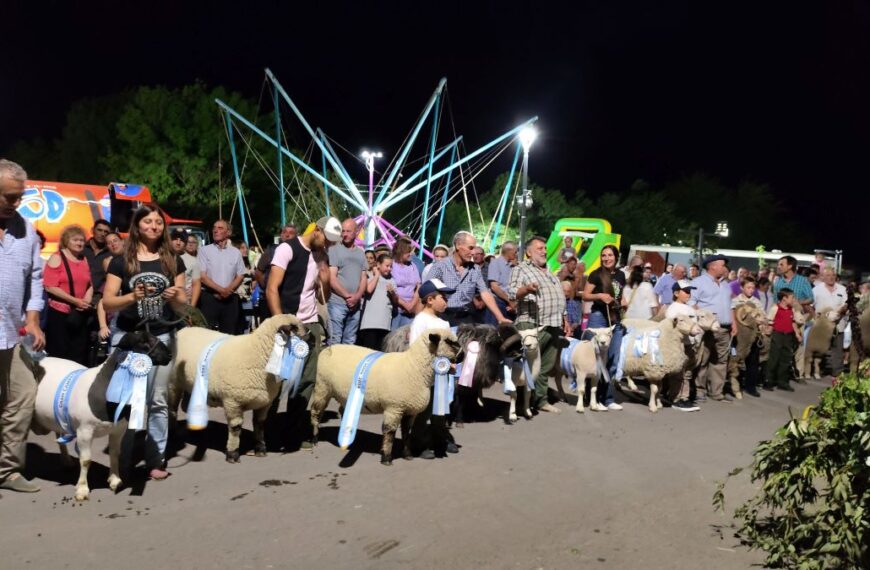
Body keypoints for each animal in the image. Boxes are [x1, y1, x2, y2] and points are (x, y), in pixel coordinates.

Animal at [31, 330, 174, 500]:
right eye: (144, 341)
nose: (169, 354)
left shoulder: (118, 429)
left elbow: (114, 453)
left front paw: (115, 480)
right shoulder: (84, 430)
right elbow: (86, 460)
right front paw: (82, 489)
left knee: (59, 435)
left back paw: (66, 461)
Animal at [169, 310, 308, 462]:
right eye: (293, 327)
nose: (308, 330)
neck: (258, 353)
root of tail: (183, 330)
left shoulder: (264, 403)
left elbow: (259, 425)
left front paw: (260, 449)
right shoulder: (232, 402)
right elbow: (235, 428)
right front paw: (232, 454)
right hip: (173, 384)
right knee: (172, 410)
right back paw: (172, 434)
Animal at [312, 326, 464, 464]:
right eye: (449, 342)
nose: (463, 356)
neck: (413, 367)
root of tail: (327, 348)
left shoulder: (409, 410)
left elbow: (406, 433)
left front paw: (407, 455)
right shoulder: (394, 407)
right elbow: (389, 432)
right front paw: (386, 457)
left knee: (342, 411)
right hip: (322, 387)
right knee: (316, 413)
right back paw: (315, 439)